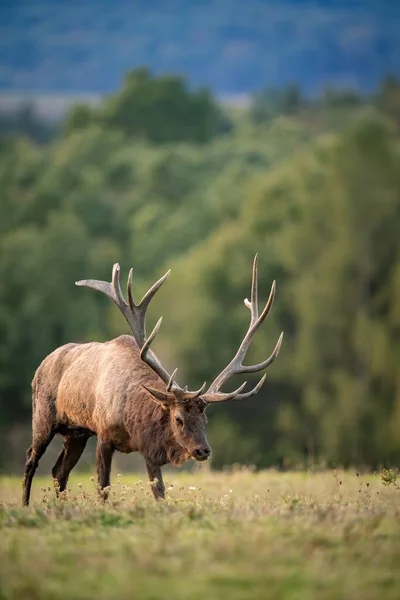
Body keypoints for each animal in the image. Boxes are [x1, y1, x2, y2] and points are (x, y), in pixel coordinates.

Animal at [22, 254, 284, 506]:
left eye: (205, 419)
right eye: (178, 418)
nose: (203, 450)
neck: (132, 419)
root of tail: (41, 365)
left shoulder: (150, 449)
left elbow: (159, 492)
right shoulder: (103, 434)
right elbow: (103, 488)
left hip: (77, 433)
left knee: (58, 472)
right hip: (43, 417)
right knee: (31, 460)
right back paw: (25, 505)